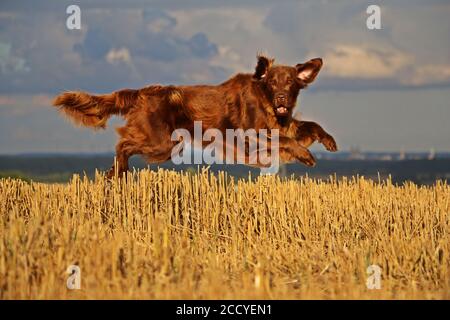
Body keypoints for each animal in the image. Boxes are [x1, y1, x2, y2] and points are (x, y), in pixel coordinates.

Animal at [52, 53, 336, 176]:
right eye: (272, 83)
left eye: (289, 83)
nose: (281, 99)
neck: (265, 101)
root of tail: (142, 92)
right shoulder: (249, 136)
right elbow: (285, 140)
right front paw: (307, 155)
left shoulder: (284, 124)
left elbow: (309, 125)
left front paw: (329, 140)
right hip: (163, 143)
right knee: (123, 144)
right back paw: (119, 171)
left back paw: (114, 173)